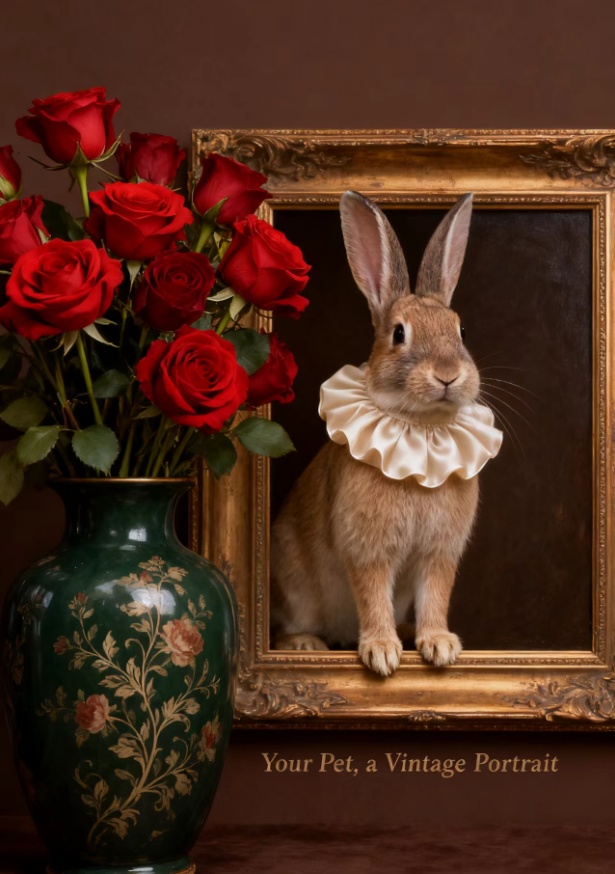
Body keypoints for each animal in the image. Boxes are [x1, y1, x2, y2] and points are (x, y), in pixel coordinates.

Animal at [271, 191, 485, 676]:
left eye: (461, 330)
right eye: (398, 333)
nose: (448, 374)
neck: (419, 431)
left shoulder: (439, 554)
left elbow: (435, 595)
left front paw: (439, 644)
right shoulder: (368, 550)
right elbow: (371, 595)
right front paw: (382, 653)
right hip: (293, 584)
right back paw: (306, 644)